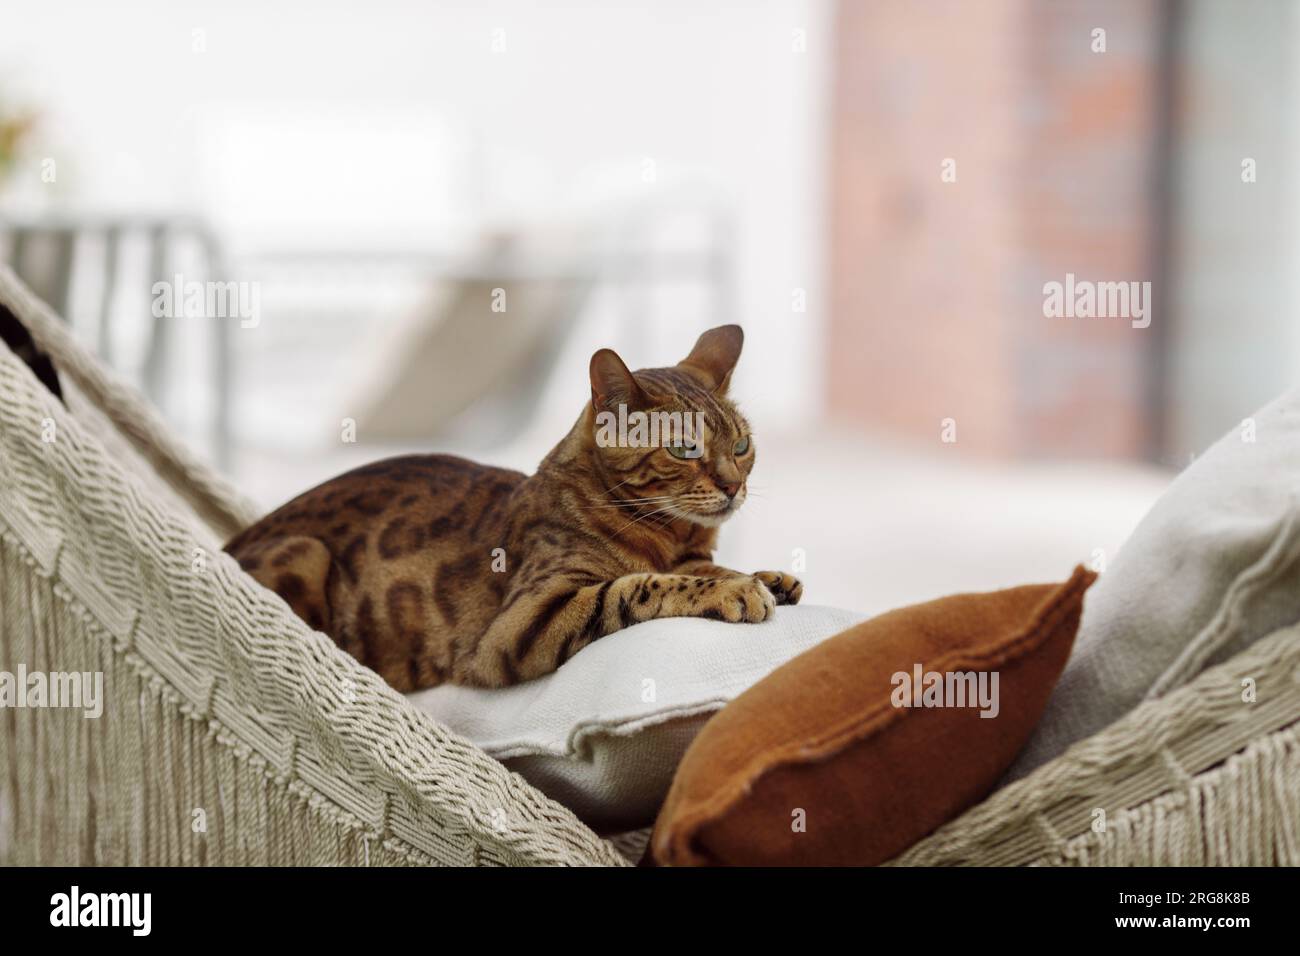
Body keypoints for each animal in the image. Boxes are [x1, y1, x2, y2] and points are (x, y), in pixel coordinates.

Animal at [223, 327, 800, 686]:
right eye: (684, 449)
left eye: (742, 446)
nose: (734, 487)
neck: (674, 536)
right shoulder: (522, 624)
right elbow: (637, 586)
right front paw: (733, 590)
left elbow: (704, 568)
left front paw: (767, 576)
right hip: (306, 552)